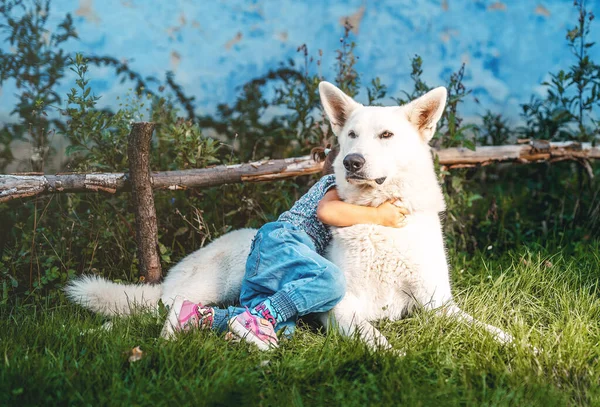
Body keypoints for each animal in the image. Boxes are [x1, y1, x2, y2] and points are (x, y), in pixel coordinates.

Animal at [68, 81, 512, 350]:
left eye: (386, 135)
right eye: (351, 135)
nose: (351, 162)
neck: (376, 220)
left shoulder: (439, 305)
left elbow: (481, 327)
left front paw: (515, 343)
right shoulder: (343, 309)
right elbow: (375, 337)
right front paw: (396, 360)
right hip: (226, 275)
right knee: (164, 308)